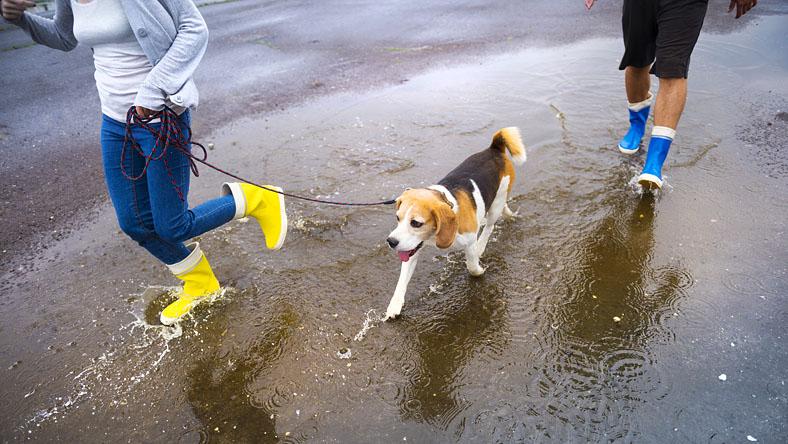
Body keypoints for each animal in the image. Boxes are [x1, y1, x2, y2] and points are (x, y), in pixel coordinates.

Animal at [384, 127, 528, 320]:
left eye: (416, 223)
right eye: (397, 218)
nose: (391, 242)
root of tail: (494, 148)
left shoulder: (469, 241)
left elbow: (472, 266)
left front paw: (479, 270)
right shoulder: (412, 249)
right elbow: (401, 281)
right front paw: (395, 305)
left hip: (496, 203)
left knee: (490, 226)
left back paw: (482, 244)